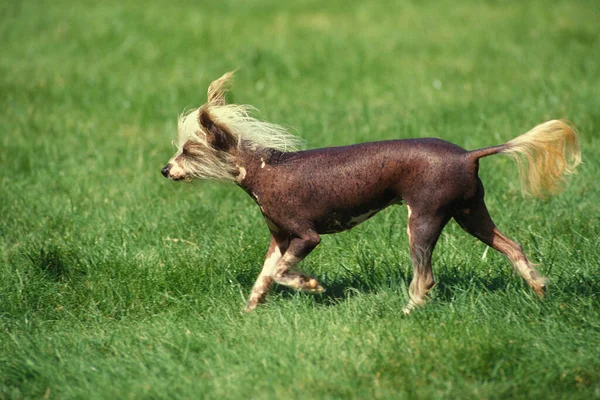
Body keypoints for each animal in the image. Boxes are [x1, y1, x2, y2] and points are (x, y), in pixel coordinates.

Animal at [161, 71, 580, 312]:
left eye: (188, 150)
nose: (165, 169)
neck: (263, 170)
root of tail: (468, 154)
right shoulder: (279, 240)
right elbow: (264, 277)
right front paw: (249, 312)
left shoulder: (306, 237)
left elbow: (282, 273)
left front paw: (309, 284)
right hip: (470, 213)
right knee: (513, 247)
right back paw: (539, 290)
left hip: (423, 219)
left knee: (425, 277)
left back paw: (409, 312)